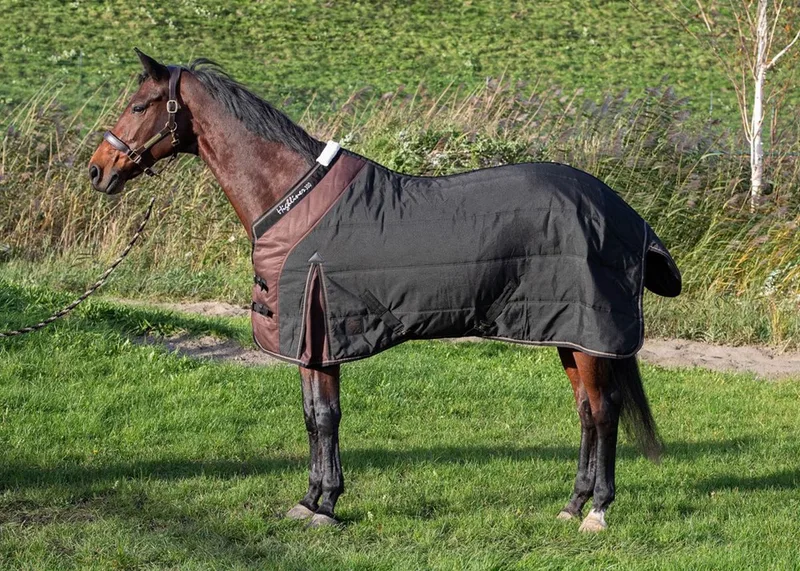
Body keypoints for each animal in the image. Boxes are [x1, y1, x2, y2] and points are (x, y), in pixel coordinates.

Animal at [88, 50, 681, 532]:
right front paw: (310, 500)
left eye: (139, 106)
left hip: (591, 336)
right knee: (585, 411)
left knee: (603, 412)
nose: (98, 170)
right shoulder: (312, 343)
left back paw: (597, 512)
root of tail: (623, 213)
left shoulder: (323, 330)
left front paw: (326, 505)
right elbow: (313, 416)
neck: (290, 198)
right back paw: (571, 504)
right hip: (567, 334)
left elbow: (327, 417)